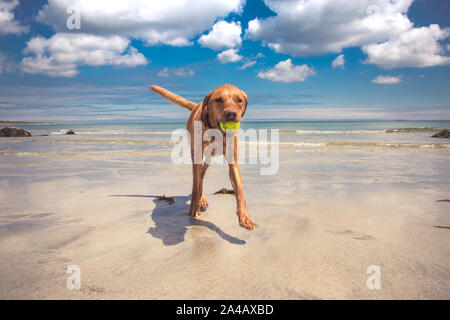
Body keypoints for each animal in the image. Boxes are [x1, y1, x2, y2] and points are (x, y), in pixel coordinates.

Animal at [150, 84, 256, 230]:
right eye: (218, 99)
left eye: (239, 100)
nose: (231, 113)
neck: (215, 132)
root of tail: (197, 105)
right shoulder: (197, 159)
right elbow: (196, 186)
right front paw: (194, 208)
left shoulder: (233, 163)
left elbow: (240, 191)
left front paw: (244, 217)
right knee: (198, 180)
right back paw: (200, 200)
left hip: (208, 159)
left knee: (202, 176)